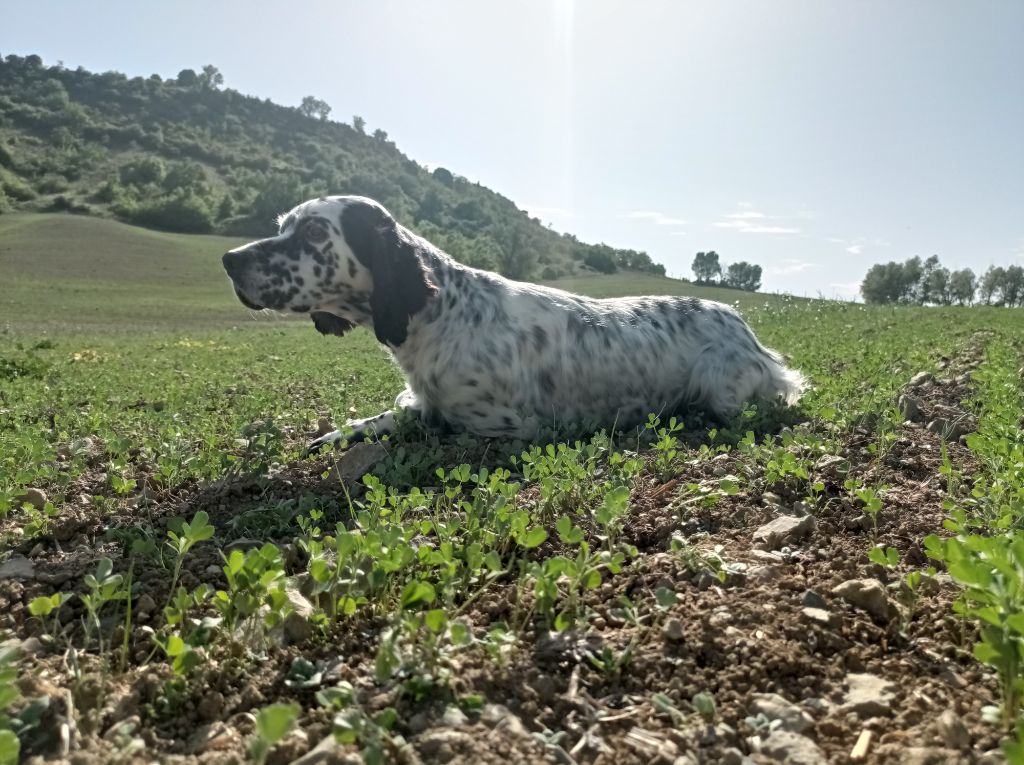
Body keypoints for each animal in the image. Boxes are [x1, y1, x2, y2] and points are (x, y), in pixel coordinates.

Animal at [220, 194, 802, 452]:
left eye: (315, 233)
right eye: (284, 225)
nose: (229, 260)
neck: (445, 313)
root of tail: (743, 325)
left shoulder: (504, 425)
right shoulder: (424, 398)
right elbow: (392, 413)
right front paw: (337, 433)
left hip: (721, 387)